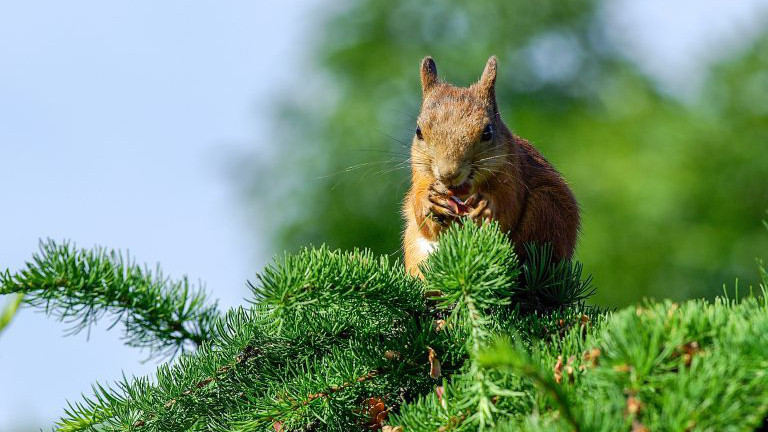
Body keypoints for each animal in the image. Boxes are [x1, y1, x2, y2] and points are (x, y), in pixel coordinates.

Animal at [404, 55, 580, 276]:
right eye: (418, 131)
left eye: (487, 132)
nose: (448, 173)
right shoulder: (419, 175)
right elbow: (422, 217)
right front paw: (431, 201)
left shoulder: (512, 173)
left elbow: (508, 208)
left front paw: (487, 208)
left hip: (547, 208)